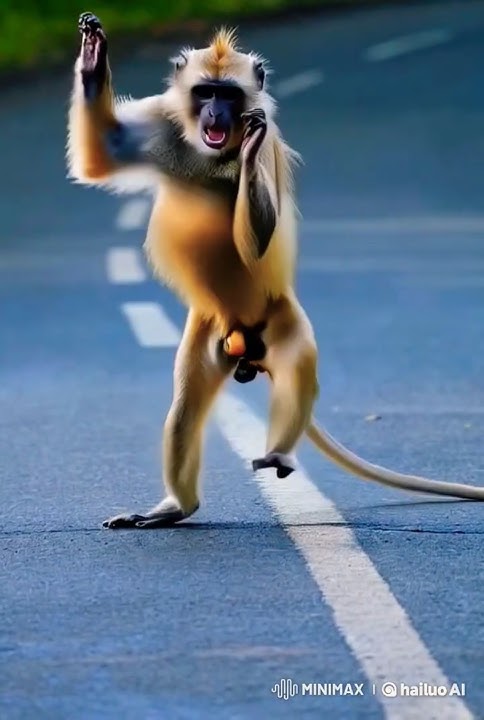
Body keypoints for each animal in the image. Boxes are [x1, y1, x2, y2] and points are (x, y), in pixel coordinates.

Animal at [66, 13, 484, 529]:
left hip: (280, 316)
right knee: (185, 408)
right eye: (205, 92)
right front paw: (92, 59)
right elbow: (101, 156)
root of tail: (244, 343)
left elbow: (256, 241)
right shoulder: (164, 123)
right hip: (210, 329)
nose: (216, 116)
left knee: (296, 366)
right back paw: (177, 506)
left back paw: (279, 454)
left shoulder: (264, 147)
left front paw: (248, 150)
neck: (211, 155)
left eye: (229, 96)